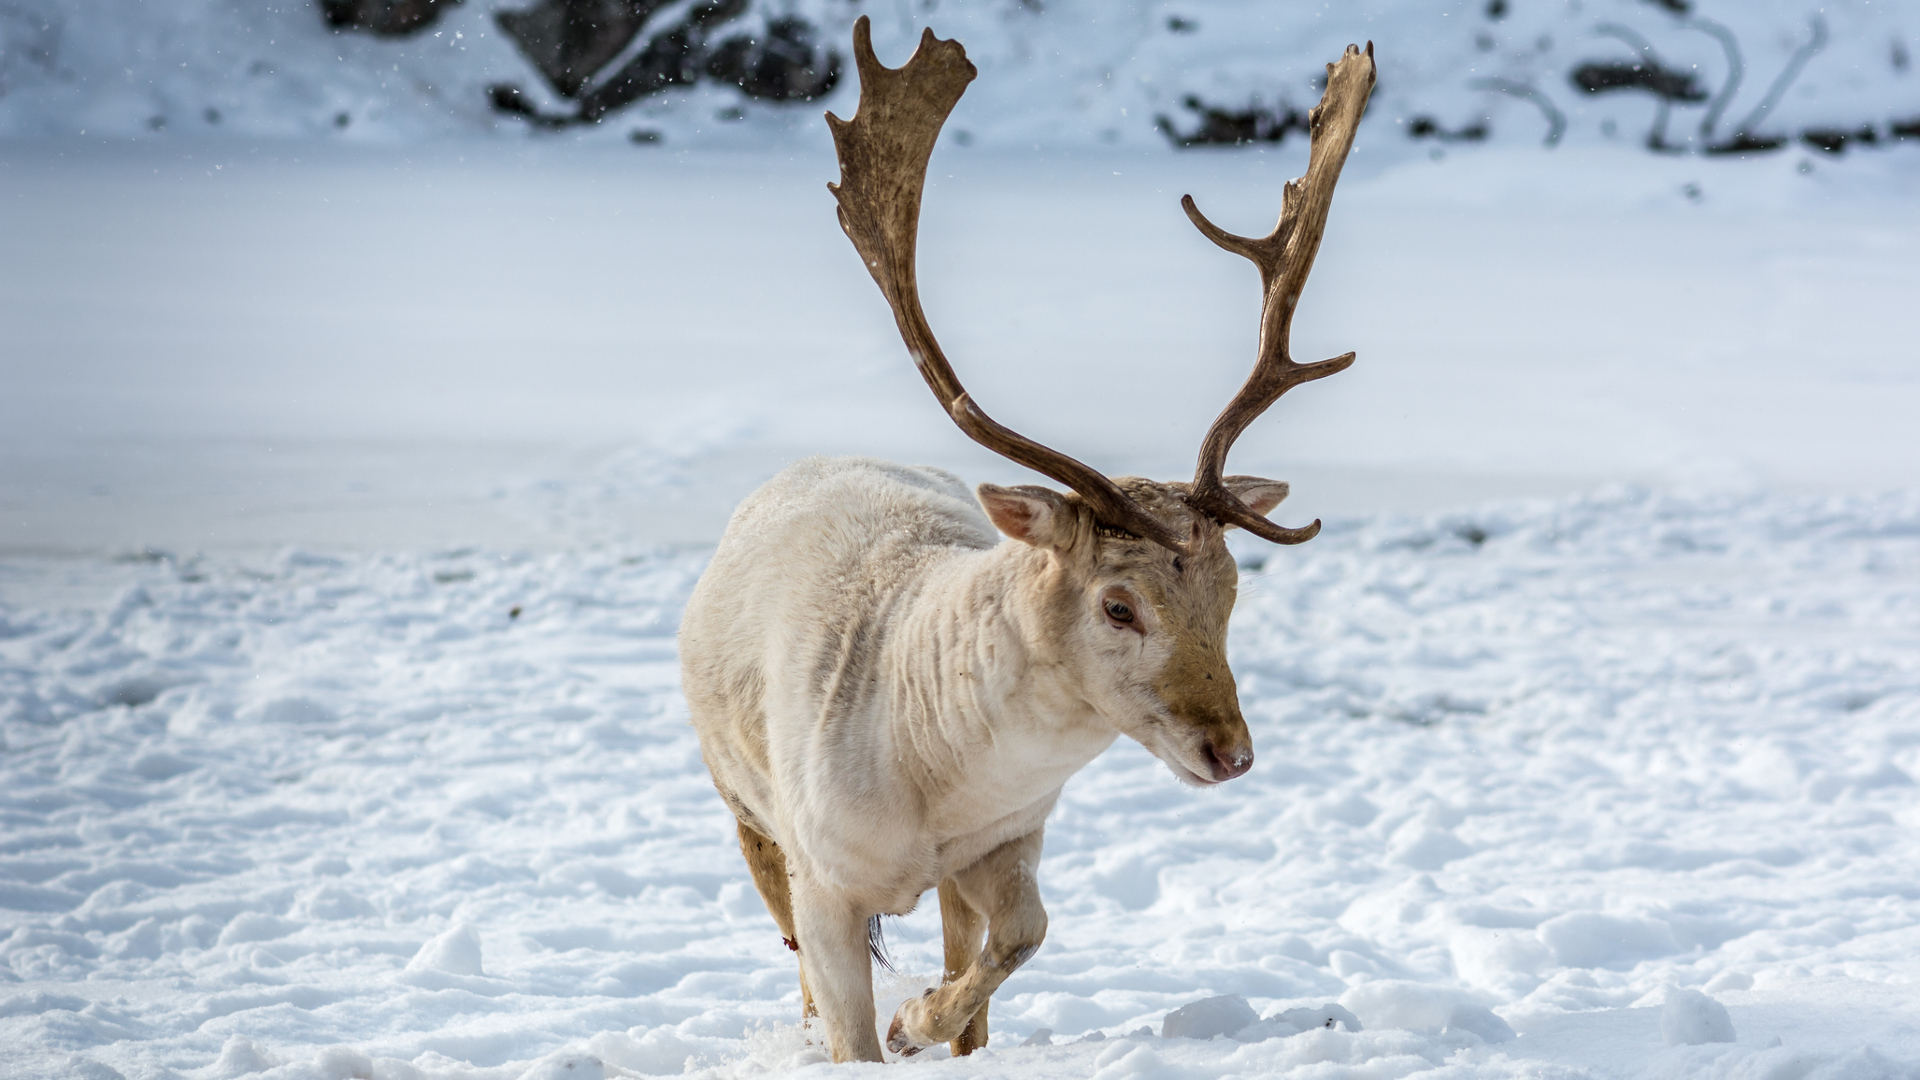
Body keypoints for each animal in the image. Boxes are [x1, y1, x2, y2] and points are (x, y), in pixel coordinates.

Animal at [683, 14, 1374, 1060]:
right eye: (1119, 604)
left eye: (1231, 591)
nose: (1232, 752)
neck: (929, 787)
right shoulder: (821, 872)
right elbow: (844, 1017)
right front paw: (886, 1028)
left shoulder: (1008, 839)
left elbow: (1023, 936)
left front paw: (922, 1017)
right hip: (743, 808)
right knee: (789, 949)